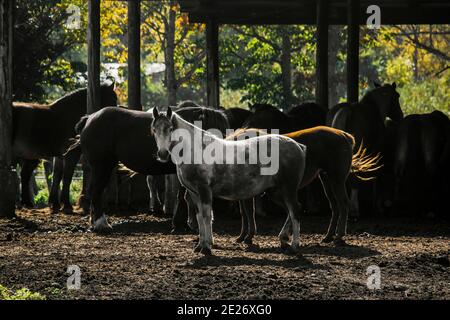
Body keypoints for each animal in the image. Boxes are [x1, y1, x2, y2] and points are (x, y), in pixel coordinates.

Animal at [12, 84, 118, 212]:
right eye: (113, 98)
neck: (68, 114)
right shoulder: (71, 155)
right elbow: (67, 176)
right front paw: (66, 205)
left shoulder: (60, 156)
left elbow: (57, 177)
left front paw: (55, 204)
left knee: (24, 175)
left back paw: (26, 203)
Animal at [74, 105, 229, 232]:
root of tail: (90, 118)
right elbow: (184, 197)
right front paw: (180, 224)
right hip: (102, 166)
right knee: (97, 192)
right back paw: (102, 224)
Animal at [151, 107, 306, 255]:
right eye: (154, 129)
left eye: (171, 128)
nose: (162, 154)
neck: (196, 150)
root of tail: (298, 146)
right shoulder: (194, 193)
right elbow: (200, 217)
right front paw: (200, 246)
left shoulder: (204, 189)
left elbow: (207, 216)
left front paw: (206, 248)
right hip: (276, 192)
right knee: (292, 210)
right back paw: (283, 239)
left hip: (288, 189)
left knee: (294, 211)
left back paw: (294, 246)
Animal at [227, 126, 382, 246]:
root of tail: (345, 136)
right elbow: (244, 213)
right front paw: (242, 237)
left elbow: (248, 212)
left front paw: (248, 237)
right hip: (326, 180)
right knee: (335, 206)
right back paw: (328, 236)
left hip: (336, 179)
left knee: (343, 204)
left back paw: (338, 236)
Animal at [326, 82, 404, 218]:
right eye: (397, 96)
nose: (401, 116)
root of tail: (345, 111)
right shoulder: (375, 152)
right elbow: (375, 176)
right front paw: (377, 207)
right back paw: (354, 210)